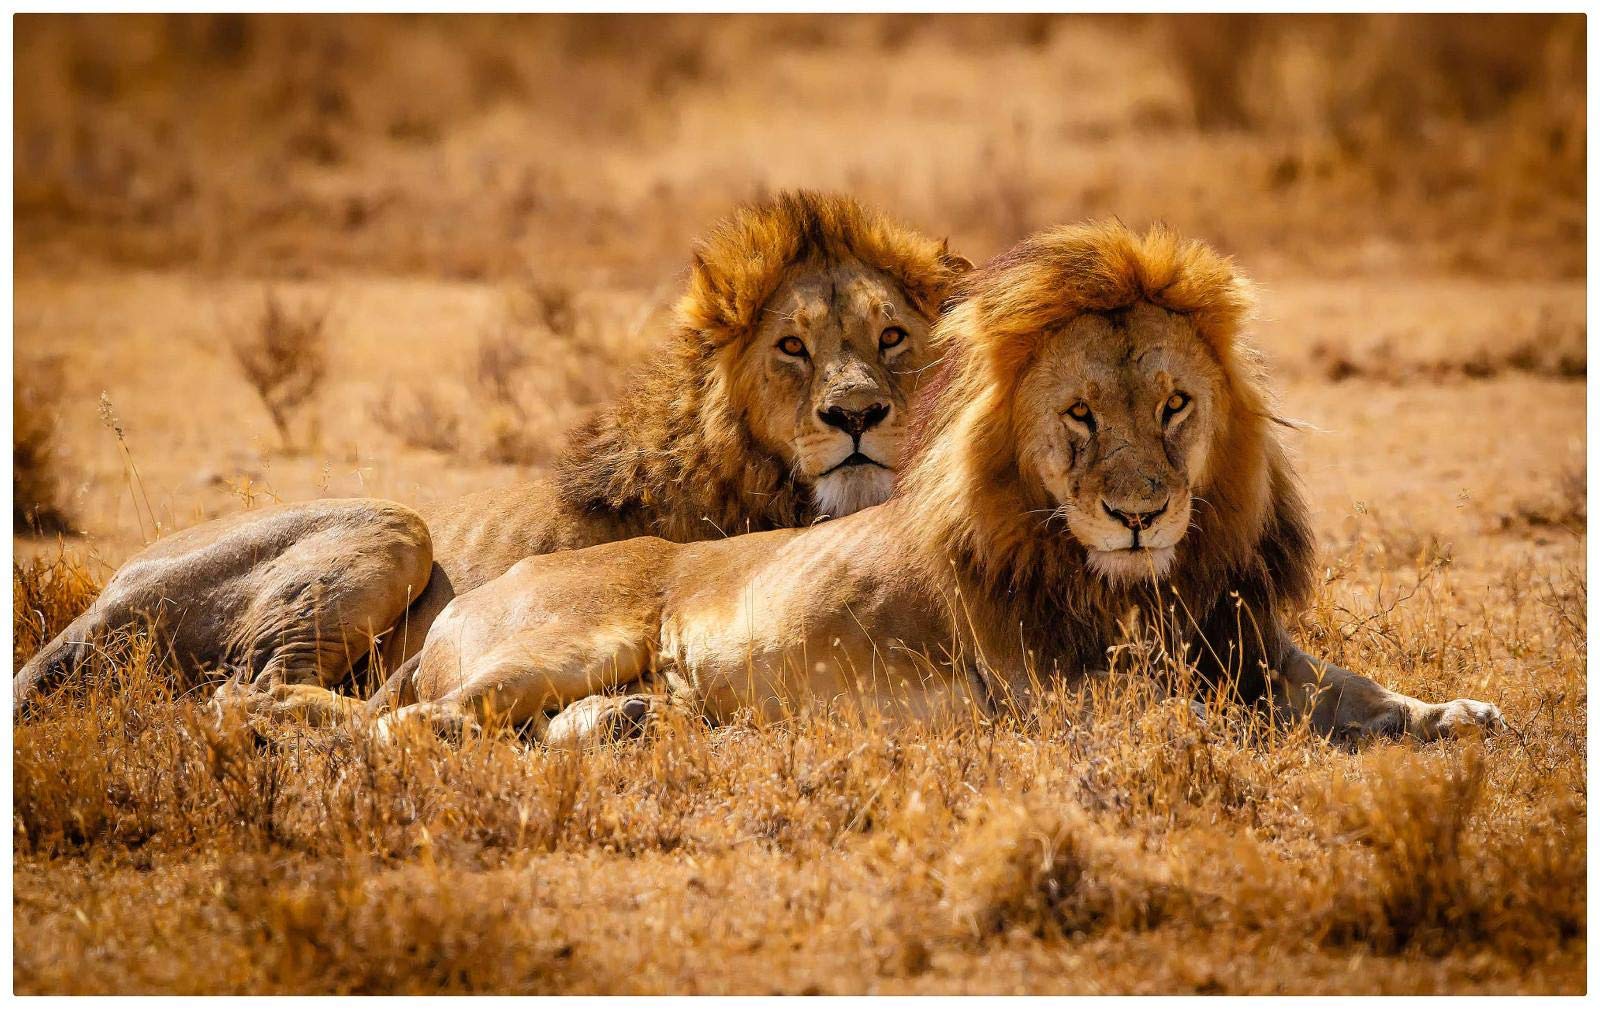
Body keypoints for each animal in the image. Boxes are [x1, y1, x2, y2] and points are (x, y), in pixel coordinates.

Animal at [14, 191, 971, 718]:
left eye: (891, 336)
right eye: (792, 348)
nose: (858, 414)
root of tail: (102, 591)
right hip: (393, 525)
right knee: (248, 691)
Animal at [367, 220, 1505, 748]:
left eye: (1175, 404)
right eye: (1081, 415)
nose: (1139, 515)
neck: (1142, 586)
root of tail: (474, 594)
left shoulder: (1247, 642)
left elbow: (1351, 688)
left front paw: (1453, 713)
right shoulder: (1065, 700)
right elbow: (1235, 724)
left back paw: (640, 724)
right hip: (564, 645)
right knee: (409, 726)